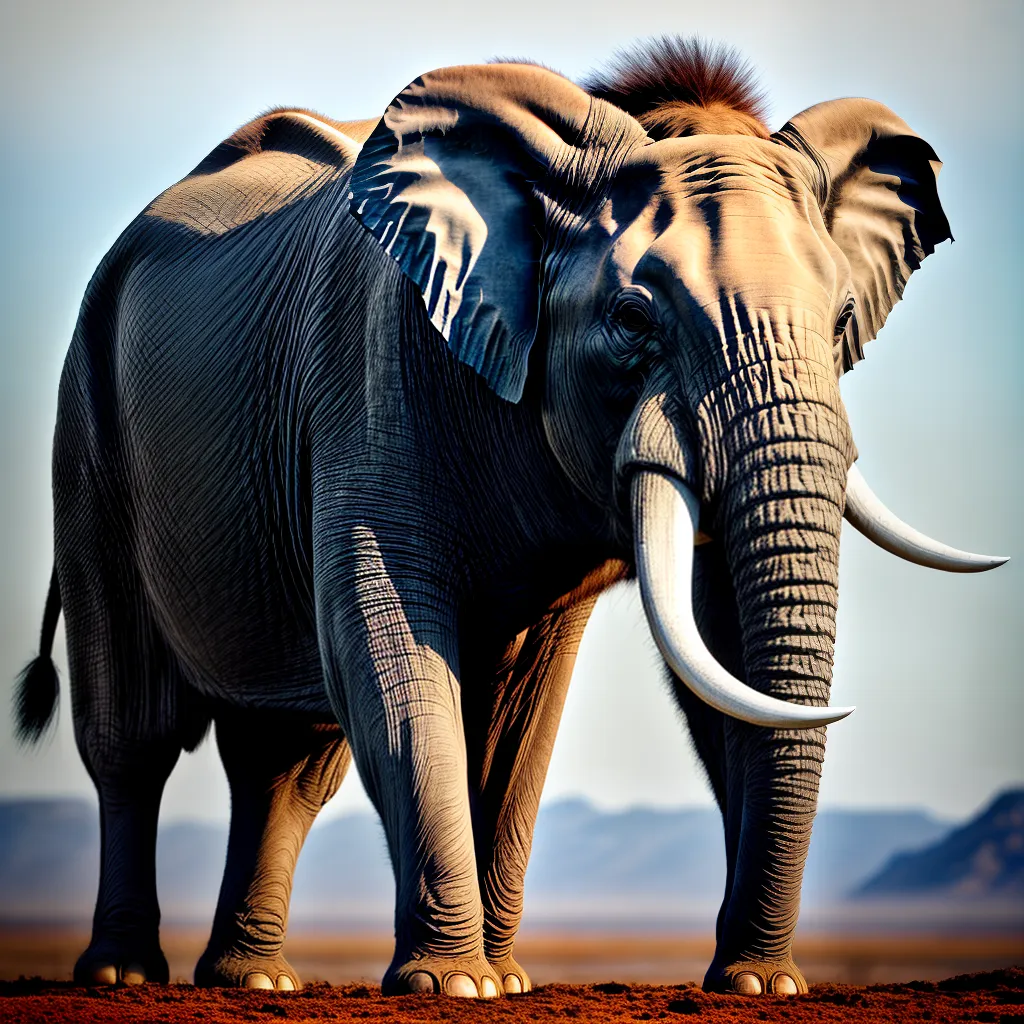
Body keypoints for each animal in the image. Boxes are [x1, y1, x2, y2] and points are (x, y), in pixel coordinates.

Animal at [15, 36, 1006, 998]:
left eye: (843, 321)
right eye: (632, 317)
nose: (744, 974)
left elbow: (574, 703)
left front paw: (735, 985)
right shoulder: (372, 375)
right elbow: (390, 650)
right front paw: (456, 985)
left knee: (286, 763)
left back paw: (255, 979)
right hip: (87, 425)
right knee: (131, 737)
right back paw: (125, 972)